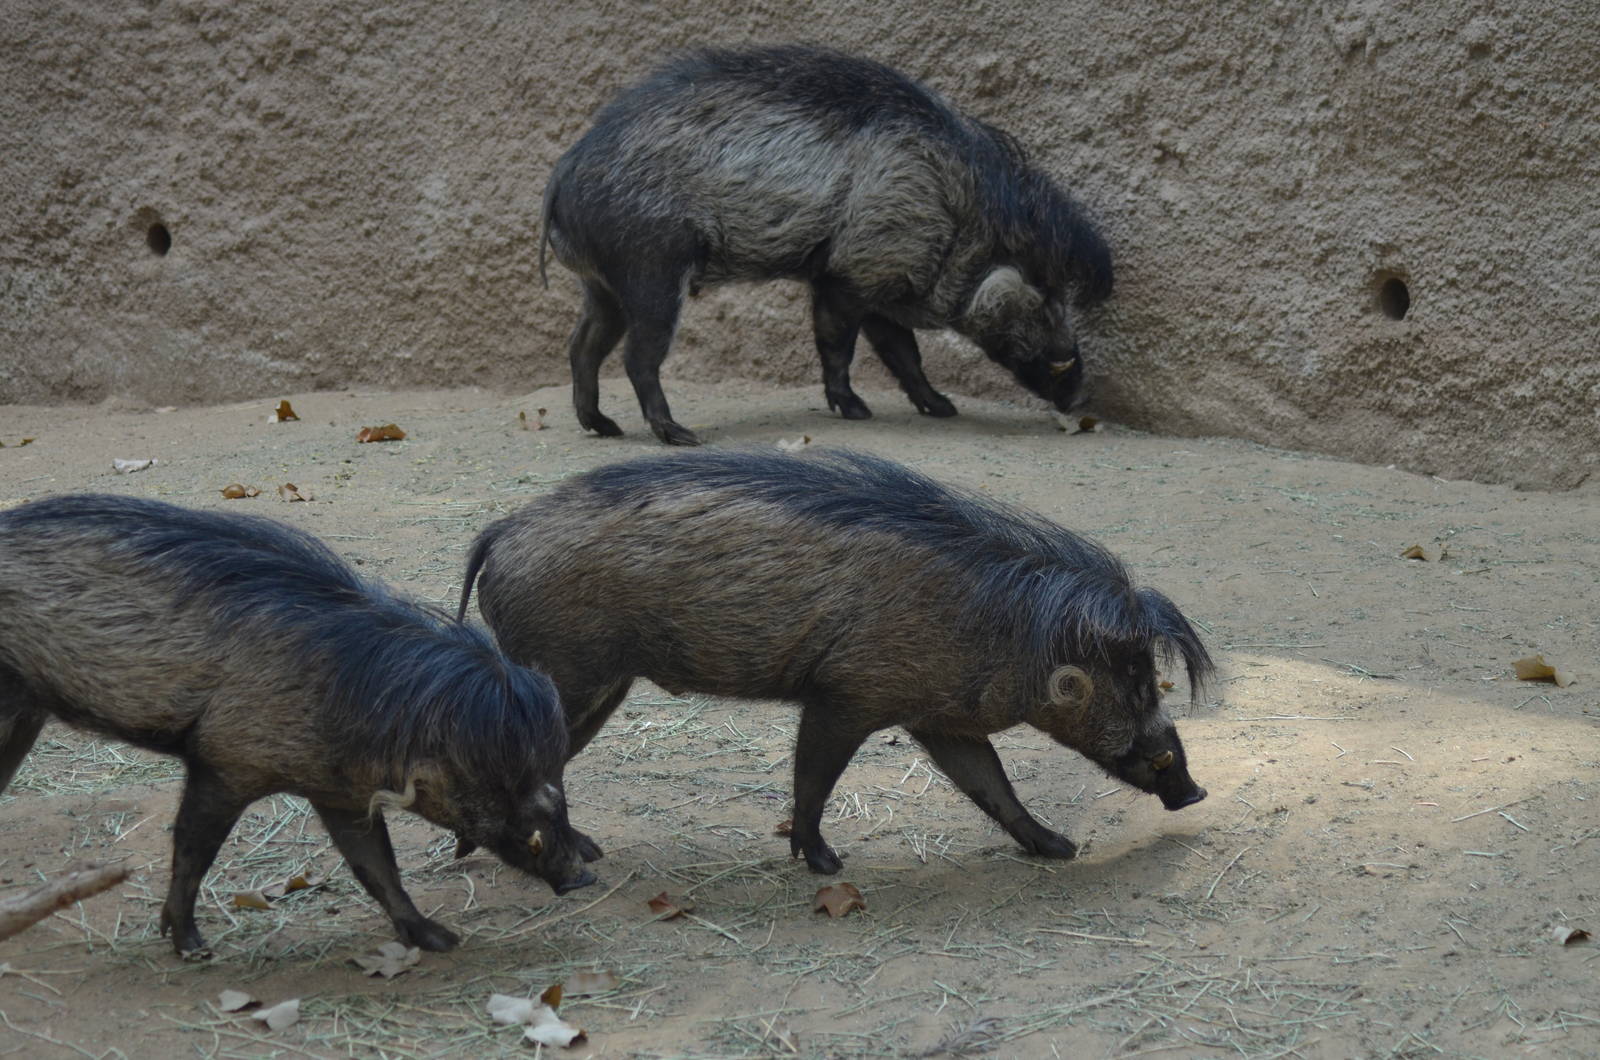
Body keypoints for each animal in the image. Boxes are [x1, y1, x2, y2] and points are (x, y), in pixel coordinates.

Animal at [0, 494, 594, 958]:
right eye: (504, 784)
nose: (582, 877)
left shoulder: (340, 794)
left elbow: (377, 867)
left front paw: (437, 939)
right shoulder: (223, 766)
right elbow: (192, 850)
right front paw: (190, 945)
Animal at [459, 448, 1209, 874]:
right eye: (1133, 680)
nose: (1195, 792)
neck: (1011, 628)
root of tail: (500, 531)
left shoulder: (940, 718)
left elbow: (992, 787)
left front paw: (1058, 849)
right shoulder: (844, 700)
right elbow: (813, 782)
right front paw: (823, 864)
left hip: (599, 684)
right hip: (568, 678)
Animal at [540, 44, 1114, 446]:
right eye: (1046, 295)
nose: (1079, 395)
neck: (953, 210)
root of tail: (561, 179)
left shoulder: (884, 286)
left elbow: (903, 354)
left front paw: (942, 407)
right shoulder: (848, 274)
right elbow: (840, 345)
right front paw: (857, 411)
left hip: (602, 285)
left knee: (582, 344)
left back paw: (603, 427)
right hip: (652, 269)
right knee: (638, 355)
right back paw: (680, 436)